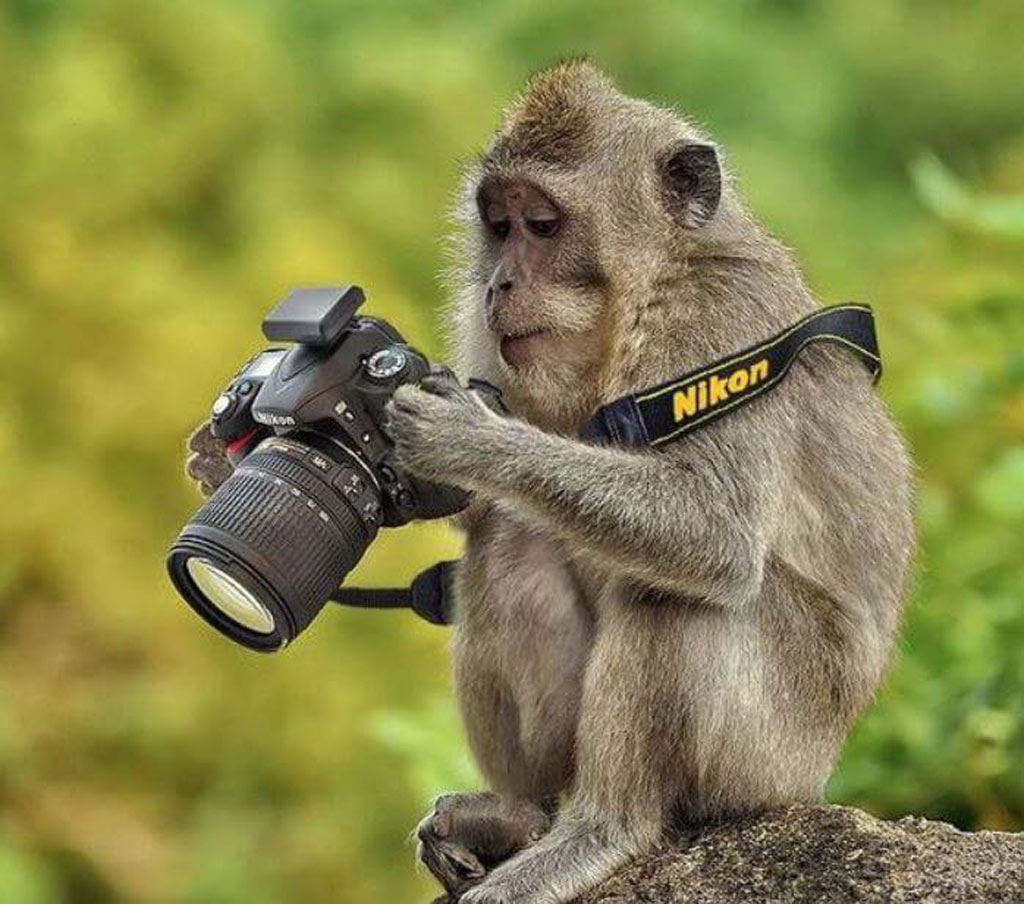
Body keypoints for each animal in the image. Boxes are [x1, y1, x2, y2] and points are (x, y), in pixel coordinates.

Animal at [183, 61, 914, 904]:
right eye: (499, 226)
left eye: (543, 225)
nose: (499, 283)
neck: (645, 293)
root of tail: (814, 779)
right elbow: (477, 512)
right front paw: (219, 453)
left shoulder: (721, 323)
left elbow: (714, 532)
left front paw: (470, 438)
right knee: (514, 542)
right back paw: (519, 815)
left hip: (771, 753)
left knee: (672, 593)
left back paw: (602, 830)